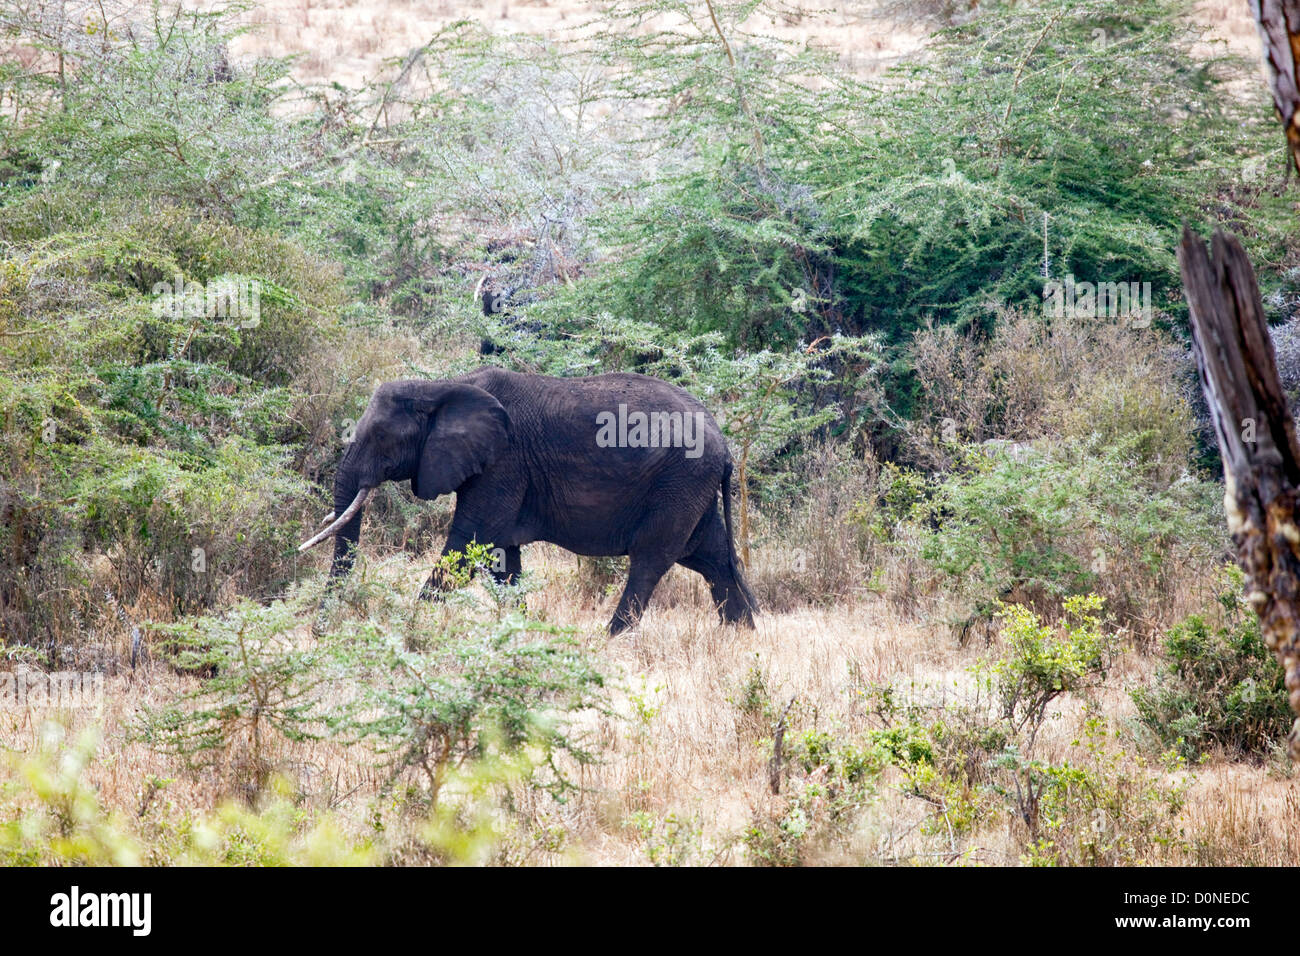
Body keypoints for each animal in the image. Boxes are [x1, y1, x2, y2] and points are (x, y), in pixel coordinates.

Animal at [297, 369, 759, 634]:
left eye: (380, 437)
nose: (320, 634)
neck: (441, 386)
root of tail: (724, 445)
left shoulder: (503, 462)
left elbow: (469, 544)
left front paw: (410, 628)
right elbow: (501, 557)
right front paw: (519, 632)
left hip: (677, 481)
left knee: (651, 560)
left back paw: (610, 639)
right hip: (689, 486)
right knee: (710, 556)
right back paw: (741, 636)